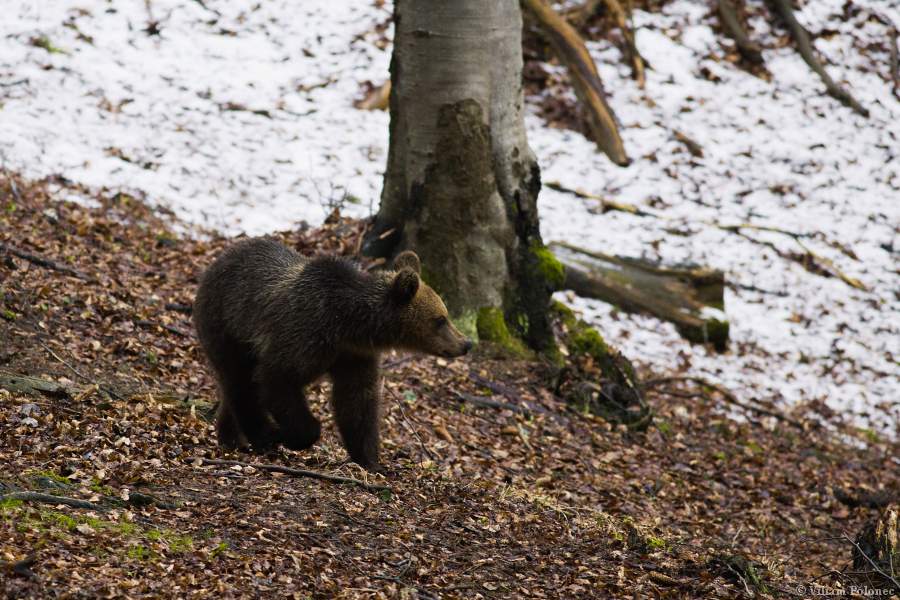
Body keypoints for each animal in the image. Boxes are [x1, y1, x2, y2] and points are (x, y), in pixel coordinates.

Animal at [191, 237, 472, 472]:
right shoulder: (304, 334)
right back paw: (260, 435)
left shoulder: (353, 356)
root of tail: (218, 260)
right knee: (239, 379)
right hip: (226, 325)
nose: (466, 343)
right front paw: (291, 435)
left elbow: (357, 402)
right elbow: (278, 379)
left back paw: (231, 436)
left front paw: (372, 461)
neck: (349, 325)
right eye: (440, 319)